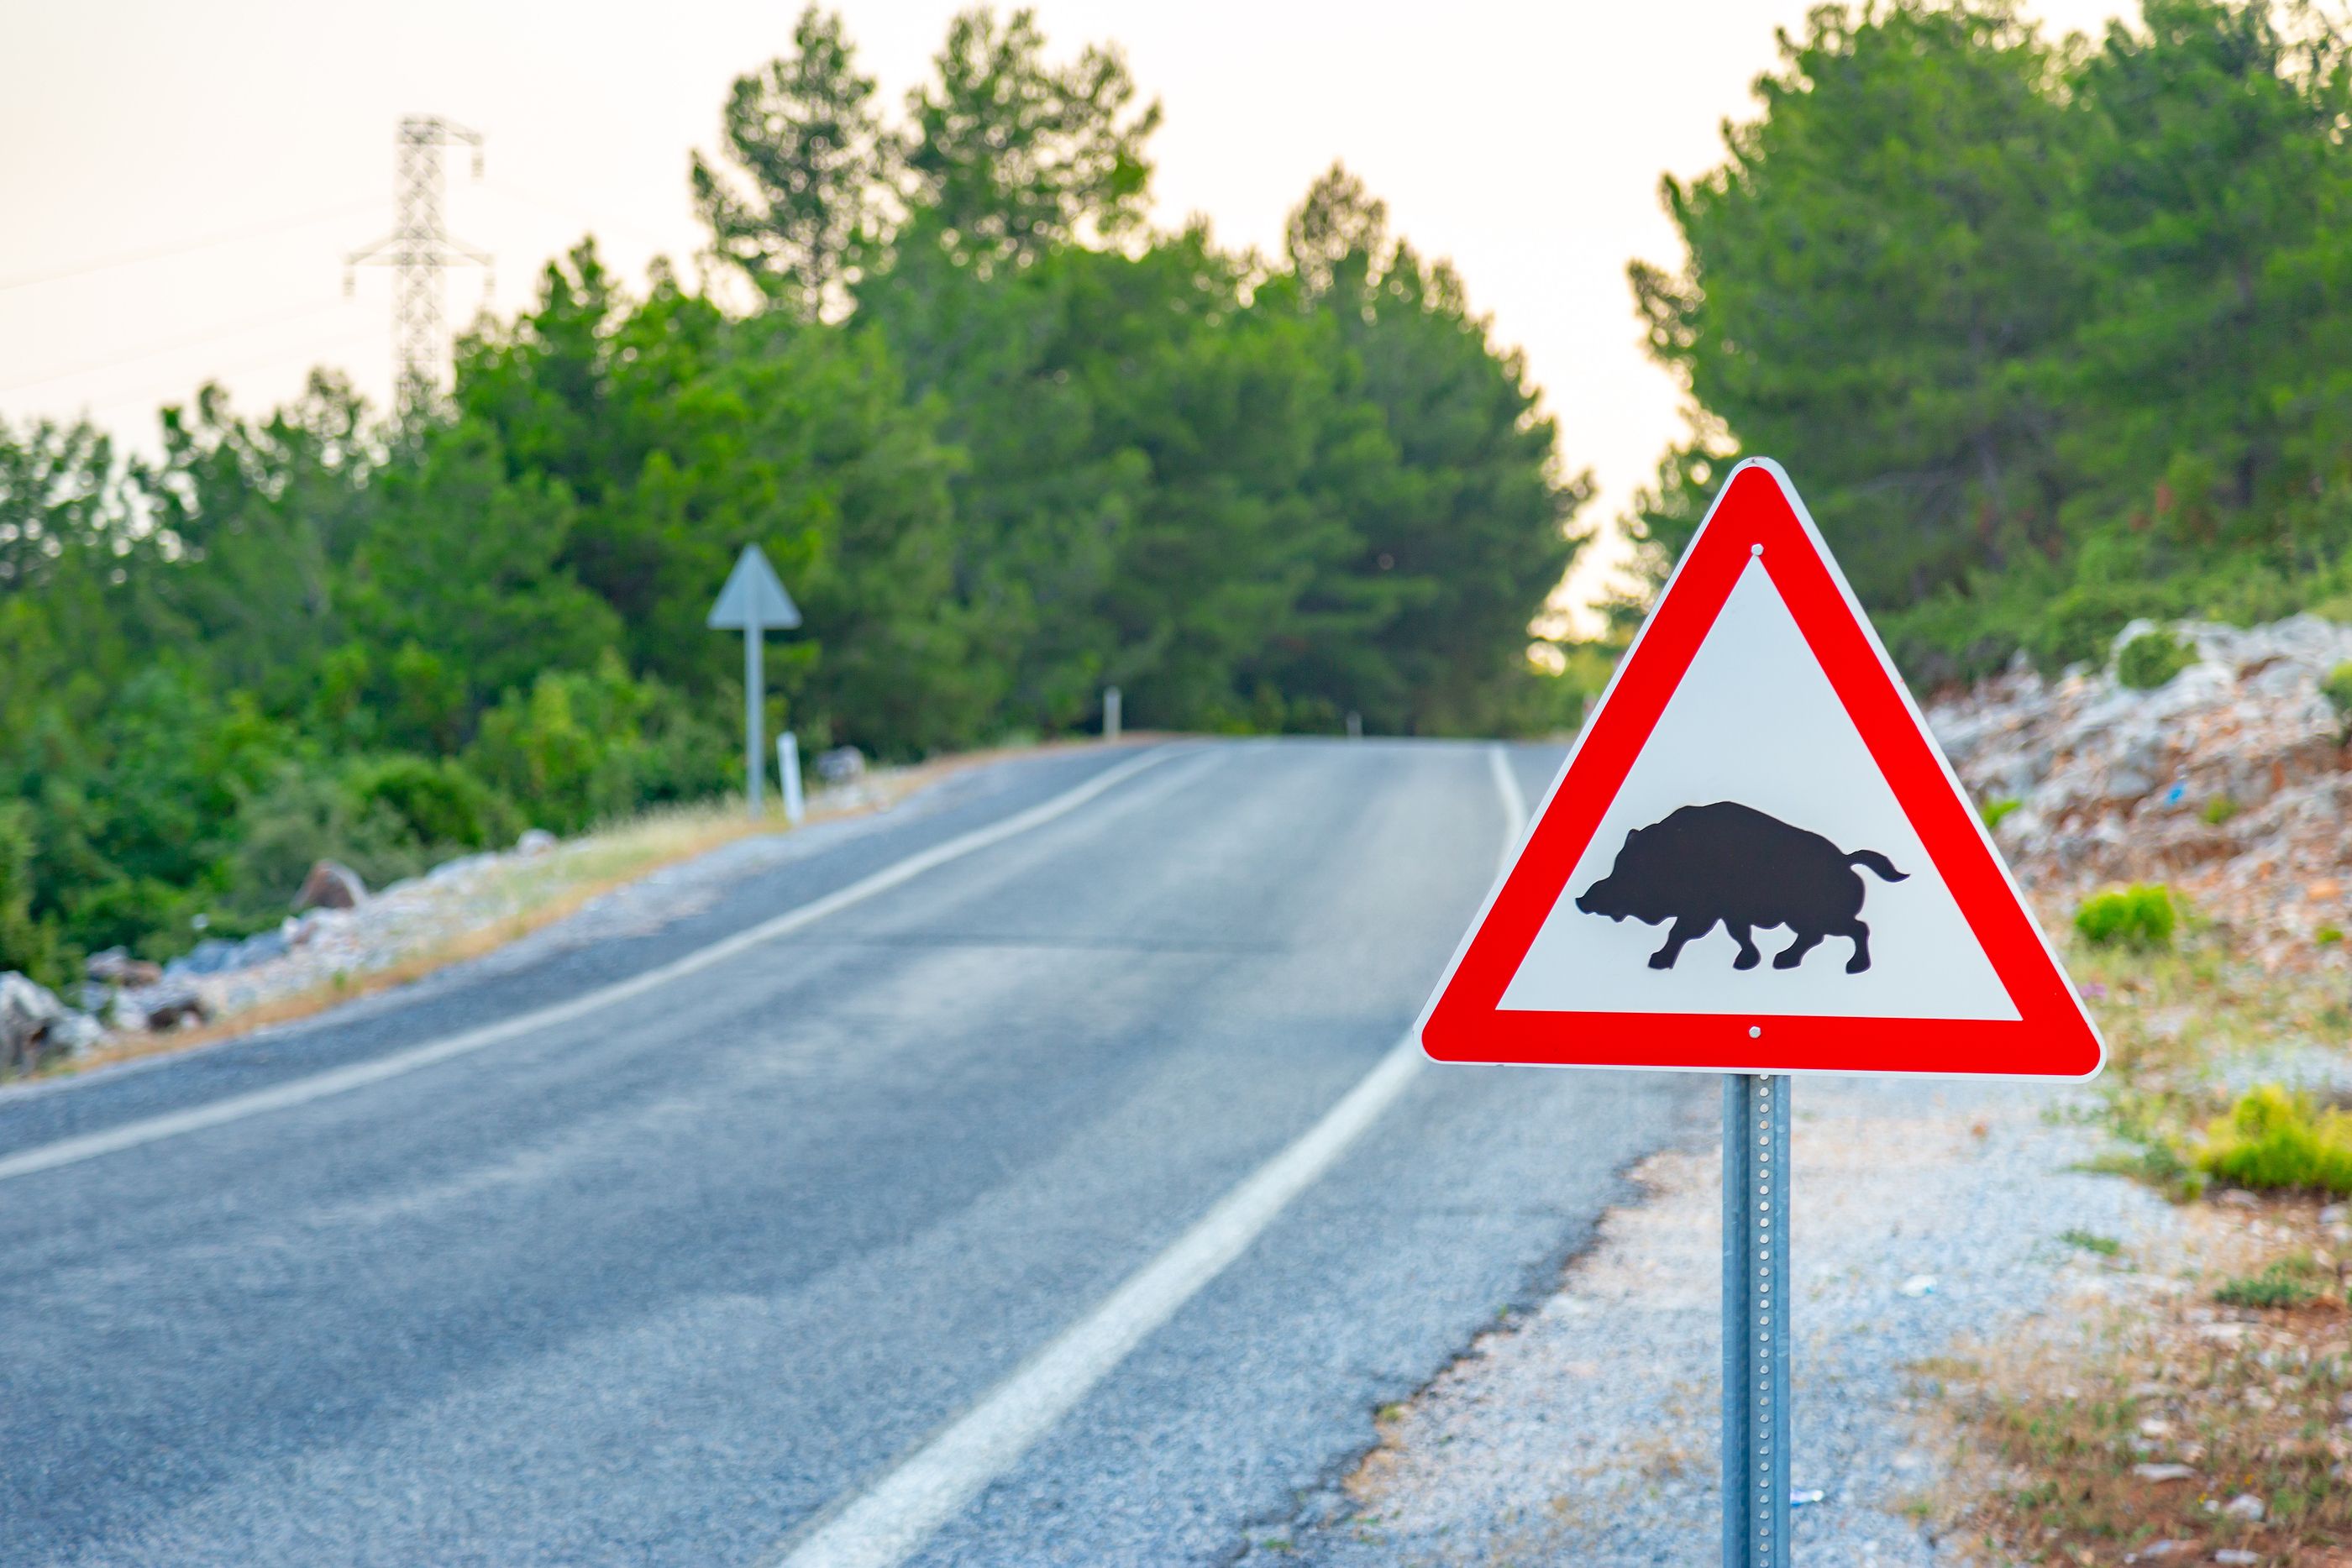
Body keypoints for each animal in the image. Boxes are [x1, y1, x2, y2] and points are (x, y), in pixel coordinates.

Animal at [1574, 801, 1908, 974]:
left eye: (1628, 870)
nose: (1582, 899)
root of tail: (1846, 860)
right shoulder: (1728, 913)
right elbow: (1739, 934)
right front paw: (1745, 962)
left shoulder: (1701, 911)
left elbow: (1679, 932)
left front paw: (1659, 960)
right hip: (1805, 919)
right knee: (1817, 936)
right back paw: (1784, 960)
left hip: (1820, 917)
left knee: (1856, 929)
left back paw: (1853, 966)